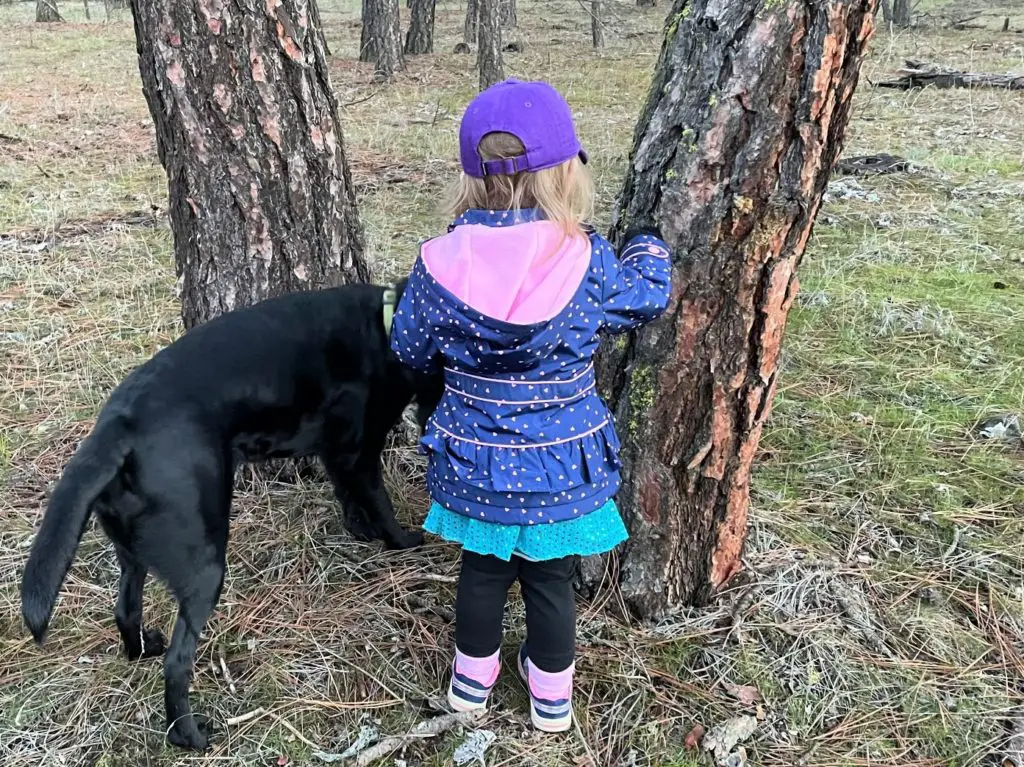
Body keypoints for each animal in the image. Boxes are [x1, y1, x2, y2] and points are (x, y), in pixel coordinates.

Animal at [17, 280, 440, 749]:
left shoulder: (337, 454)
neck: (386, 326)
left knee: (125, 610)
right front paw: (402, 540)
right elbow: (379, 501)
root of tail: (117, 427)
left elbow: (347, 494)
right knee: (177, 663)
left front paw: (360, 528)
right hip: (205, 565)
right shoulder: (360, 453)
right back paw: (189, 735)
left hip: (132, 553)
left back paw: (143, 649)